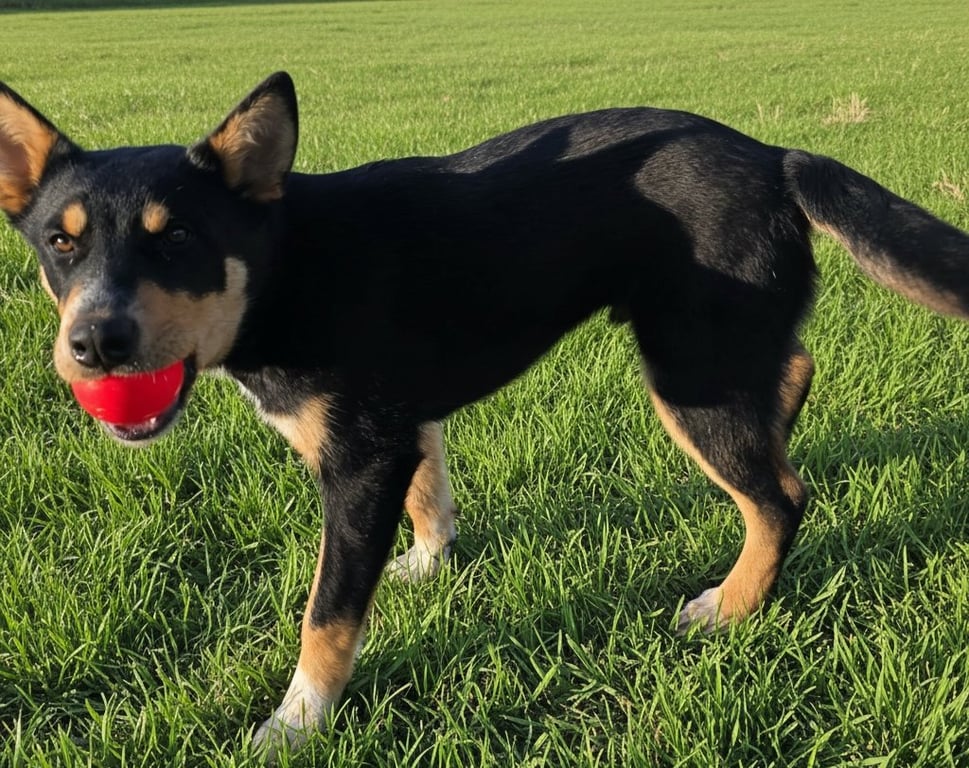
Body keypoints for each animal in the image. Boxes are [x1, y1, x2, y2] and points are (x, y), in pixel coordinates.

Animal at [1, 72, 967, 758]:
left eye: (177, 239)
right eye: (60, 243)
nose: (94, 344)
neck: (284, 268)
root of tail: (772, 155)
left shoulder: (358, 459)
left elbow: (327, 612)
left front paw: (298, 722)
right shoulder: (401, 426)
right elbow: (430, 492)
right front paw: (429, 565)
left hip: (690, 375)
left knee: (777, 498)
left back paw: (730, 606)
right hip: (719, 355)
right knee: (789, 376)